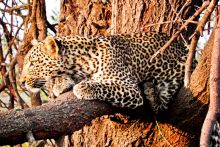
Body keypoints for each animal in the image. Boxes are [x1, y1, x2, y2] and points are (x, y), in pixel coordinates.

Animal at [19, 31, 189, 113]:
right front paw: (62, 83)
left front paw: (84, 87)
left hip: (173, 77)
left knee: (161, 108)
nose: (21, 82)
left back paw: (150, 91)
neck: (80, 63)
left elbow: (106, 87)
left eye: (33, 63)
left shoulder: (131, 89)